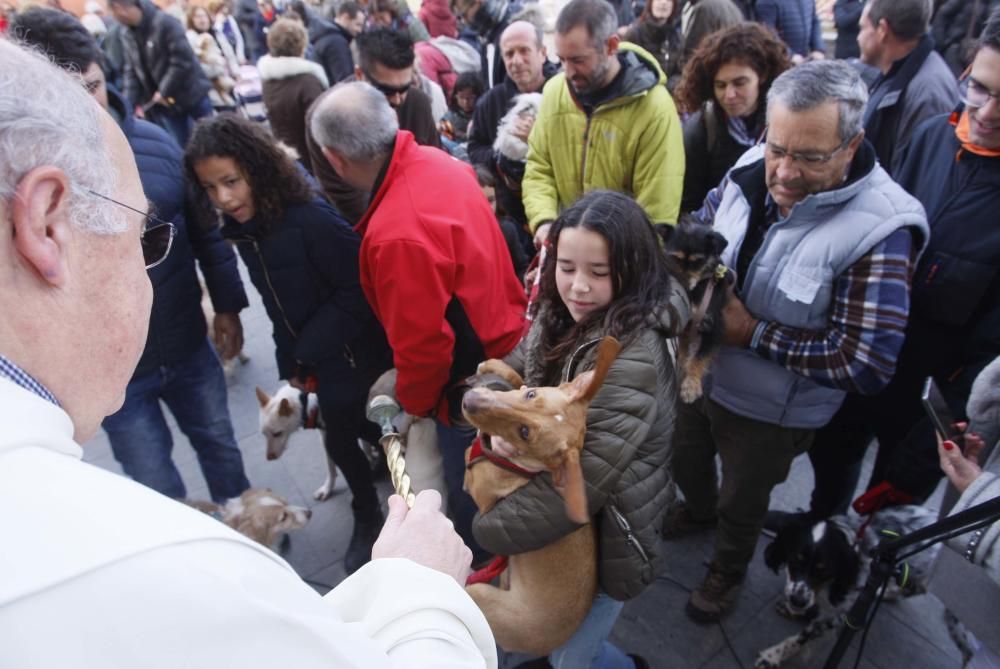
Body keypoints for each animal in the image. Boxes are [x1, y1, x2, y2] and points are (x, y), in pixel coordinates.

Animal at [458, 334, 616, 652]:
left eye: (524, 432)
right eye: (531, 395)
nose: (469, 401)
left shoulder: (479, 486)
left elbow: (472, 458)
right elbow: (519, 377)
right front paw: (495, 367)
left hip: (482, 595)